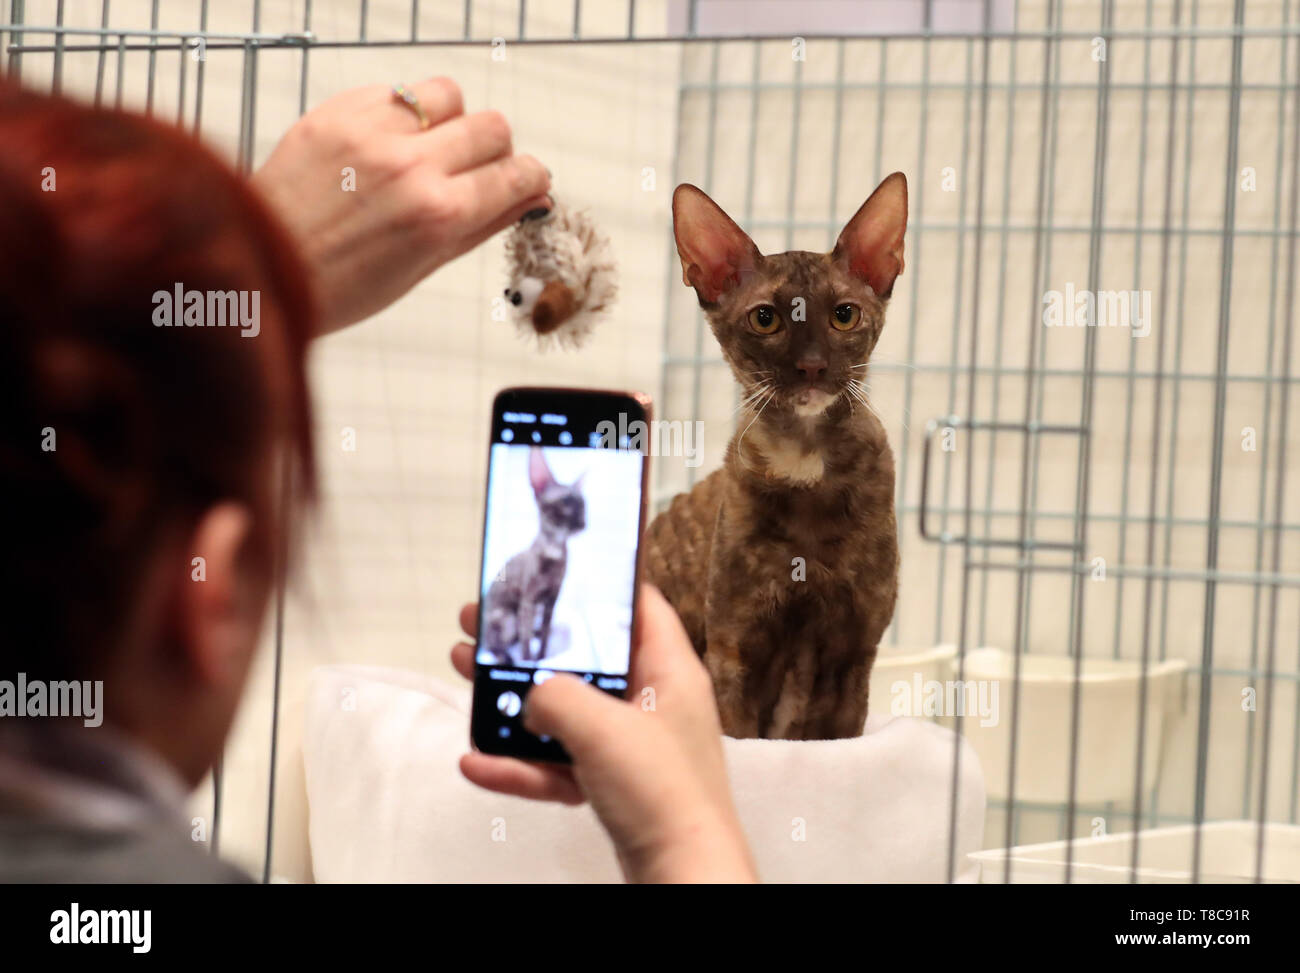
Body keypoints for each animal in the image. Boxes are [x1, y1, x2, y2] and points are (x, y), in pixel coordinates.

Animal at [480, 447, 587, 660]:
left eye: (583, 506)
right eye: (566, 502)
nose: (583, 523)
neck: (553, 549)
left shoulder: (552, 599)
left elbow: (544, 632)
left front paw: (542, 657)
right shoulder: (528, 600)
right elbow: (525, 641)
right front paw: (528, 660)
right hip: (506, 617)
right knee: (496, 645)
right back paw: (505, 656)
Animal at [639, 173, 904, 738]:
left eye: (844, 316)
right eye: (765, 319)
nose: (811, 366)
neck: (803, 456)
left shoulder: (855, 652)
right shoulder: (734, 645)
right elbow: (737, 736)